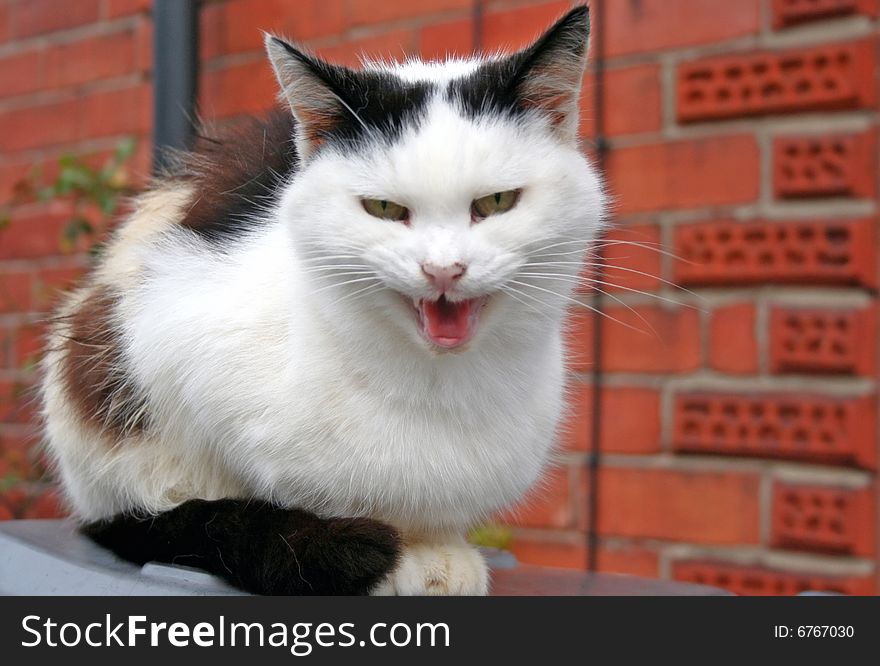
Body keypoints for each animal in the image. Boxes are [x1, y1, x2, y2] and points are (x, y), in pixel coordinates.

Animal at [37, 5, 600, 592]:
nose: (443, 269)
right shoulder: (170, 325)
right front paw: (402, 552)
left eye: (496, 202)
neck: (437, 386)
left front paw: (439, 547)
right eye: (383, 208)